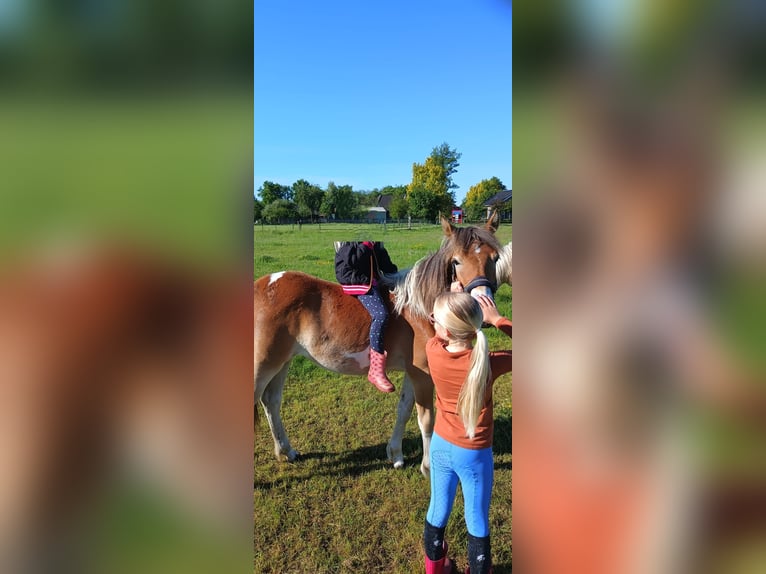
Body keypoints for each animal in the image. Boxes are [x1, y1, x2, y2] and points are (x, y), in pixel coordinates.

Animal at [254, 213, 503, 475]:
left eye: (495, 258)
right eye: (456, 262)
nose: (483, 305)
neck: (420, 308)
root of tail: (262, 286)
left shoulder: (413, 371)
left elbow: (404, 409)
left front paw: (395, 454)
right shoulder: (423, 373)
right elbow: (426, 419)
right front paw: (427, 467)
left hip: (283, 361)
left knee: (271, 401)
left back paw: (286, 451)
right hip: (264, 363)